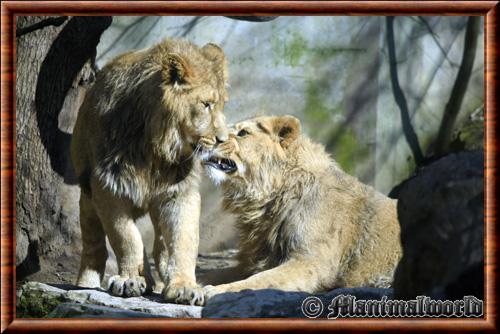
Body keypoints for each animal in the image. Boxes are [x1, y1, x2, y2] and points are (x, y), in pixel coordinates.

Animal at [201, 115, 400, 300]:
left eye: (243, 133)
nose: (205, 139)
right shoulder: (256, 259)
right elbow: (213, 273)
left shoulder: (310, 262)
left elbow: (260, 279)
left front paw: (215, 291)